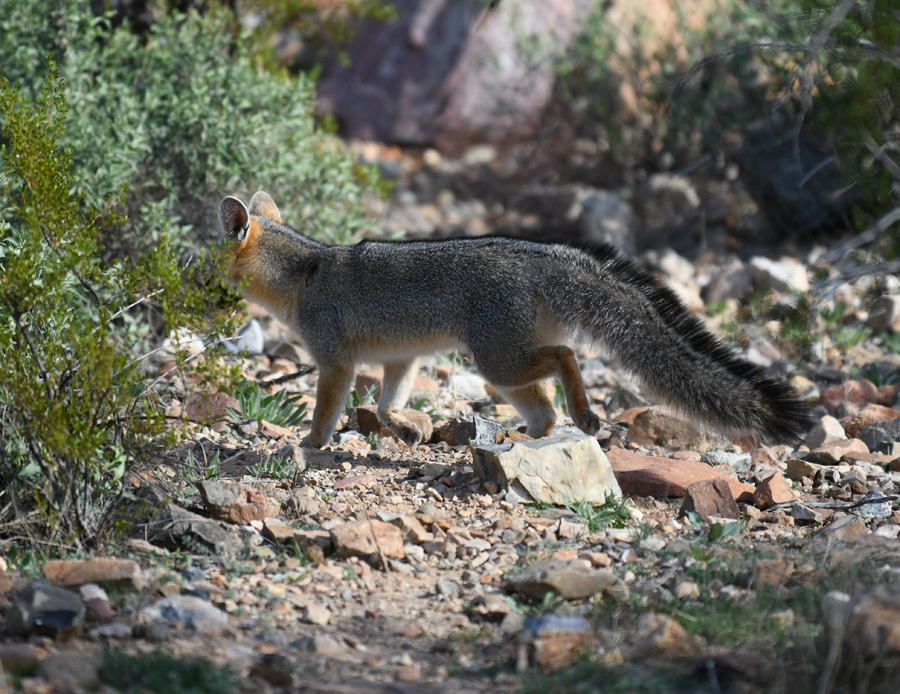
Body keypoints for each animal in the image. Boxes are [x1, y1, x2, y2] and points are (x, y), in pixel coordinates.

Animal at [217, 191, 810, 450]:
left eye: (211, 257)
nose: (202, 283)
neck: (305, 270)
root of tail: (541, 252)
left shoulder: (335, 362)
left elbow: (325, 413)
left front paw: (310, 445)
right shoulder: (401, 359)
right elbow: (385, 406)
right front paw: (401, 427)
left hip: (496, 363)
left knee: (566, 358)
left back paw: (584, 414)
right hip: (502, 372)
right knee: (545, 412)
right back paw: (523, 442)